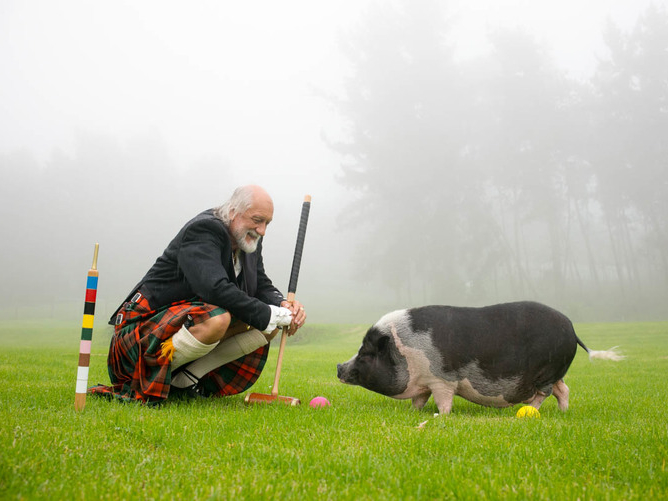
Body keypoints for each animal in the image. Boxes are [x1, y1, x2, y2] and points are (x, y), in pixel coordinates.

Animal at [336, 300, 624, 414]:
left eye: (366, 353)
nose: (338, 366)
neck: (404, 350)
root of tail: (572, 329)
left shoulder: (442, 380)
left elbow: (444, 401)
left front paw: (442, 416)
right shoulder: (424, 383)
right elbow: (418, 400)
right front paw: (414, 412)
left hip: (547, 370)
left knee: (545, 392)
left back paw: (528, 410)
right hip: (557, 371)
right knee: (564, 390)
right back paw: (563, 412)